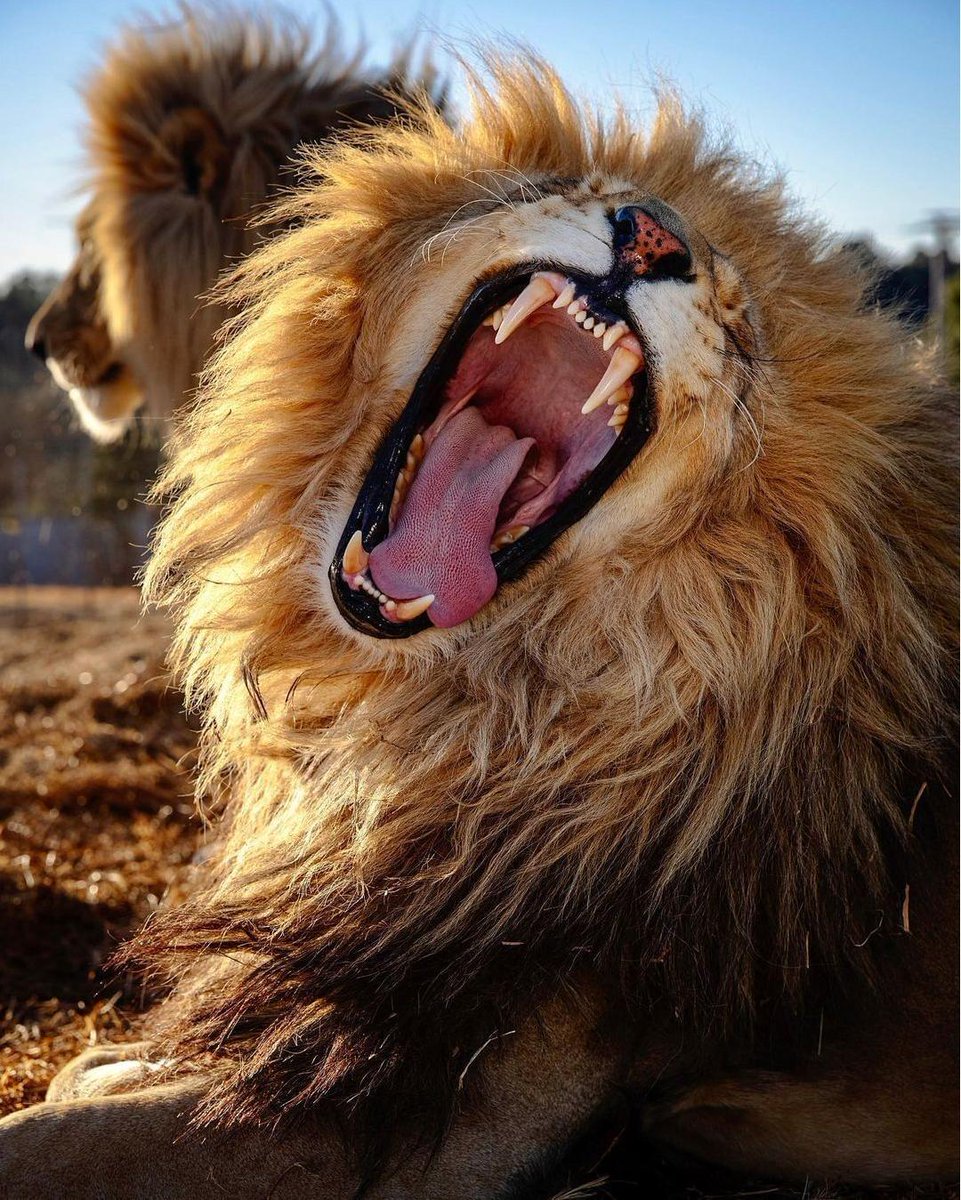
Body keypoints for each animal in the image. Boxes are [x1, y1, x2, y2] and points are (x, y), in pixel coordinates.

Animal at [1, 55, 956, 1199]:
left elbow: (55, 1132)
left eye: (736, 316)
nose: (653, 238)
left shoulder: (459, 1103)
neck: (443, 706)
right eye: (579, 191)